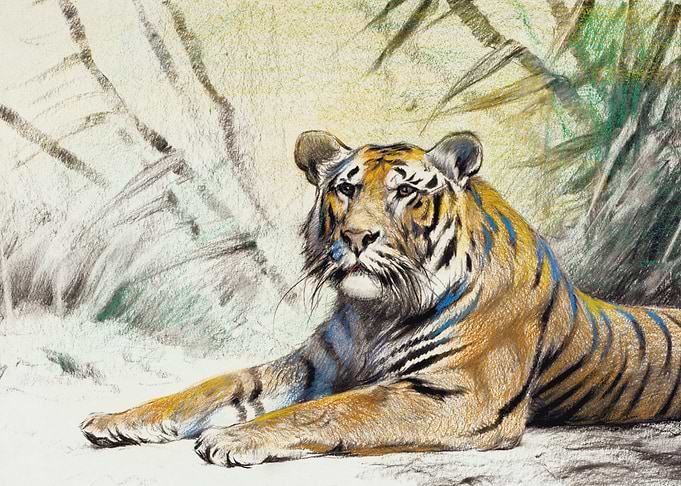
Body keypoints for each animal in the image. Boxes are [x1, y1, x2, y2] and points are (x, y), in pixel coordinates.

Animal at [81, 130, 681, 467]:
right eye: (346, 189)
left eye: (407, 191)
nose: (356, 237)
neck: (377, 311)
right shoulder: (311, 364)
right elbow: (213, 386)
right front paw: (117, 418)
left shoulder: (459, 396)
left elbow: (334, 411)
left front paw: (232, 437)